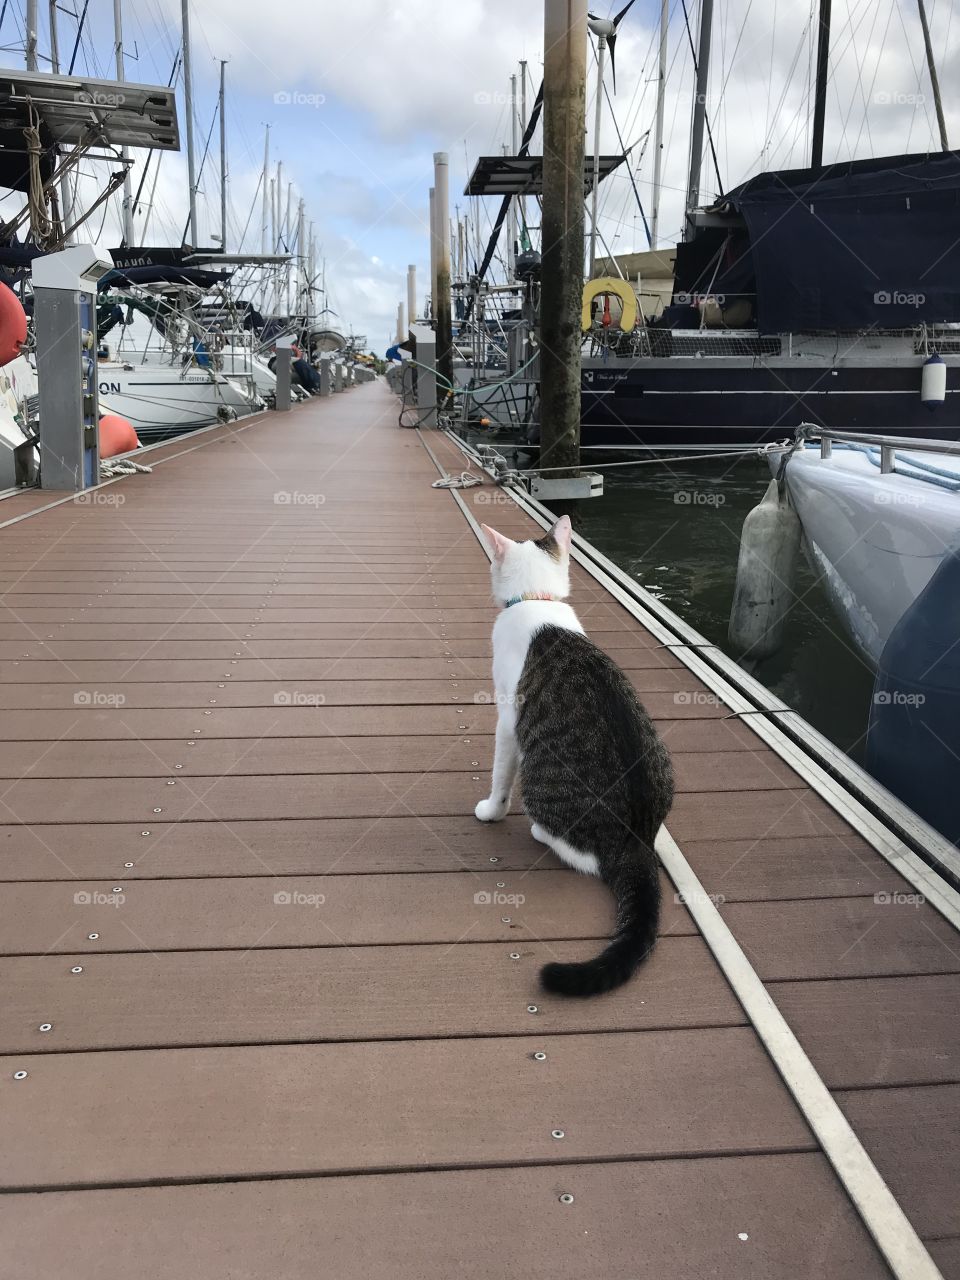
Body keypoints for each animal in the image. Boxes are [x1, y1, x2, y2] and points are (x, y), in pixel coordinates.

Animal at [476, 514, 675, 993]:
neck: (536, 600)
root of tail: (637, 839)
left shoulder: (507, 719)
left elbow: (499, 775)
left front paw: (491, 810)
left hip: (540, 787)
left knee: (580, 854)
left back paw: (540, 832)